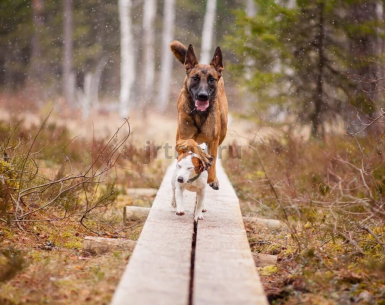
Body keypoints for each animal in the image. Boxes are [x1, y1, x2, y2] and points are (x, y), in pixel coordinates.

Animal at [170, 39, 226, 189]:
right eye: (195, 78)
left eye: (211, 79)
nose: (203, 95)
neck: (199, 114)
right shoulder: (180, 142)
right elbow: (191, 142)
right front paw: (202, 156)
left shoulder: (213, 140)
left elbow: (213, 160)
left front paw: (212, 179)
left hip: (223, 131)